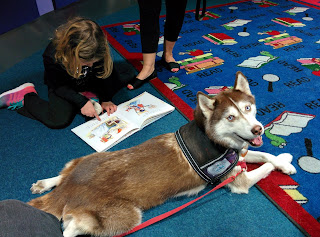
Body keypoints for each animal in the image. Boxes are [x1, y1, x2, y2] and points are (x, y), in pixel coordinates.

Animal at [28, 71, 296, 237]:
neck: (215, 141)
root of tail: (67, 191)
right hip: (127, 216)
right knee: (69, 229)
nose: (258, 129)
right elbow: (263, 168)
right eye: (231, 117)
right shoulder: (237, 180)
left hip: (85, 160)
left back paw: (44, 183)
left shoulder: (238, 153)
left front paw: (284, 162)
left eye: (248, 108)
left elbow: (264, 156)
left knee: (64, 173)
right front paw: (285, 161)